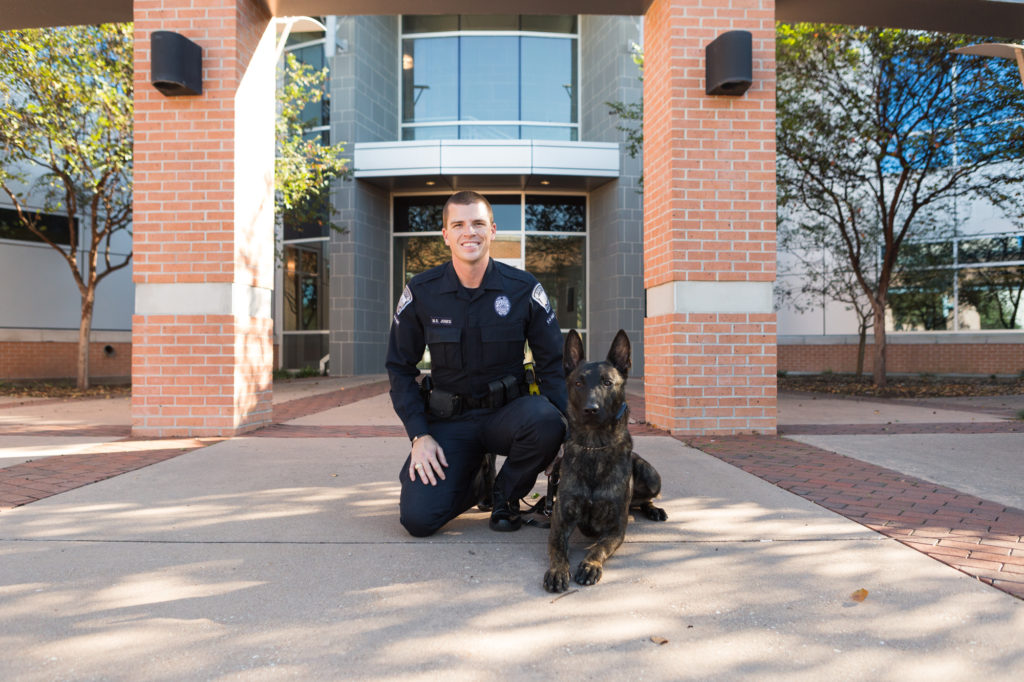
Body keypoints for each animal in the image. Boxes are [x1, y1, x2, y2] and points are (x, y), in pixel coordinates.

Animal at [544, 327, 663, 589]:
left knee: (645, 499)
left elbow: (598, 548)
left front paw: (590, 565)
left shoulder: (616, 528)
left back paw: (654, 509)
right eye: (578, 383)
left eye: (608, 383)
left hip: (651, 476)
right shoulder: (560, 520)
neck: (594, 447)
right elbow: (557, 549)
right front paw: (558, 570)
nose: (591, 409)